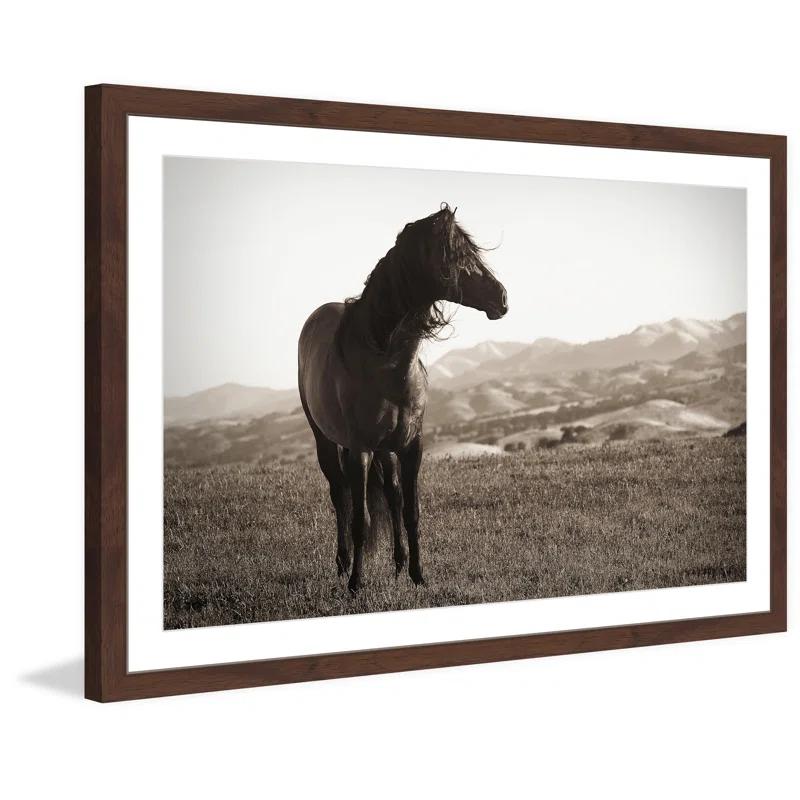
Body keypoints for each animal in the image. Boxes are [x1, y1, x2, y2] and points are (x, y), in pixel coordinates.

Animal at [297, 204, 508, 593]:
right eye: (459, 256)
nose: (502, 298)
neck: (385, 362)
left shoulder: (412, 447)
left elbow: (411, 510)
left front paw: (418, 575)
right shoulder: (361, 450)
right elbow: (360, 520)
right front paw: (356, 584)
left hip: (387, 450)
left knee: (392, 495)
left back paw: (397, 564)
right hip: (328, 443)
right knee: (341, 496)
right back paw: (343, 565)